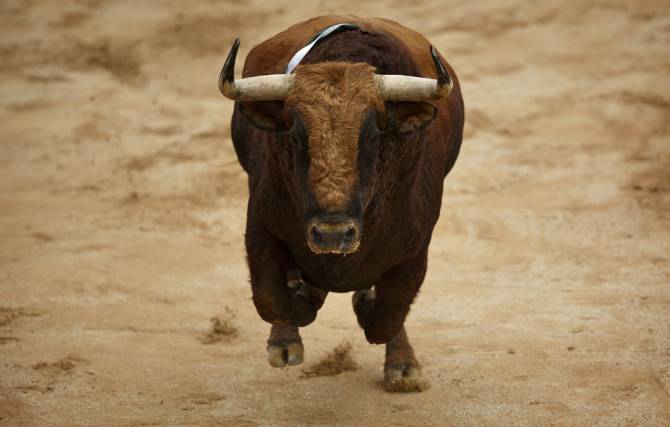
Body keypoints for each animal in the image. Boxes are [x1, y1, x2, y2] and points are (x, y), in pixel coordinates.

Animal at [218, 15, 464, 392]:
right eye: (295, 136)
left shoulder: (415, 248)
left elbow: (388, 313)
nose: (332, 235)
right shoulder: (260, 227)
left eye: (373, 136)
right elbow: (272, 299)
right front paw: (302, 307)